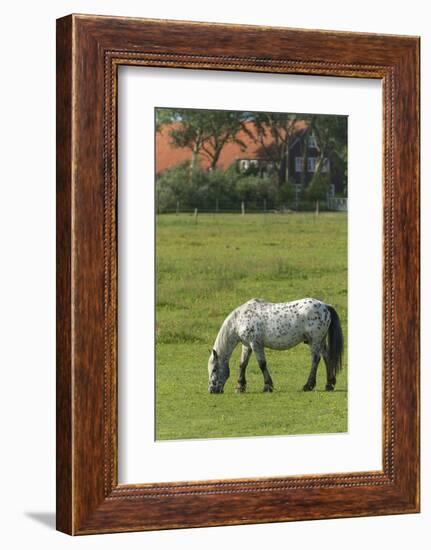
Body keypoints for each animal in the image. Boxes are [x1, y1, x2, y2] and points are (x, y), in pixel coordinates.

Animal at [208, 300, 346, 394]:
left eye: (214, 369)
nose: (212, 390)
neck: (240, 319)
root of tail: (325, 306)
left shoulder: (256, 344)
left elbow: (262, 364)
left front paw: (267, 386)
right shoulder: (247, 345)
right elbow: (243, 364)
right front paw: (240, 387)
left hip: (315, 341)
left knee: (315, 360)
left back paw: (308, 385)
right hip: (320, 341)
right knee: (327, 358)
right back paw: (329, 384)